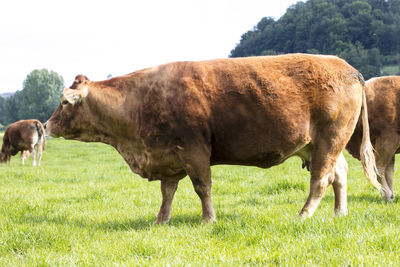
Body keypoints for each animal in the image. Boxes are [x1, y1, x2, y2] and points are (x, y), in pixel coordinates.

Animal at [45, 54, 380, 224]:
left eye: (63, 103)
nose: (46, 125)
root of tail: (348, 68)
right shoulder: (168, 155)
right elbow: (168, 192)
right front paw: (161, 220)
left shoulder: (193, 150)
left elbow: (202, 187)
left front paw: (208, 219)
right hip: (320, 144)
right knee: (339, 175)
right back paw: (338, 212)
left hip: (330, 138)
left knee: (321, 180)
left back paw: (303, 215)